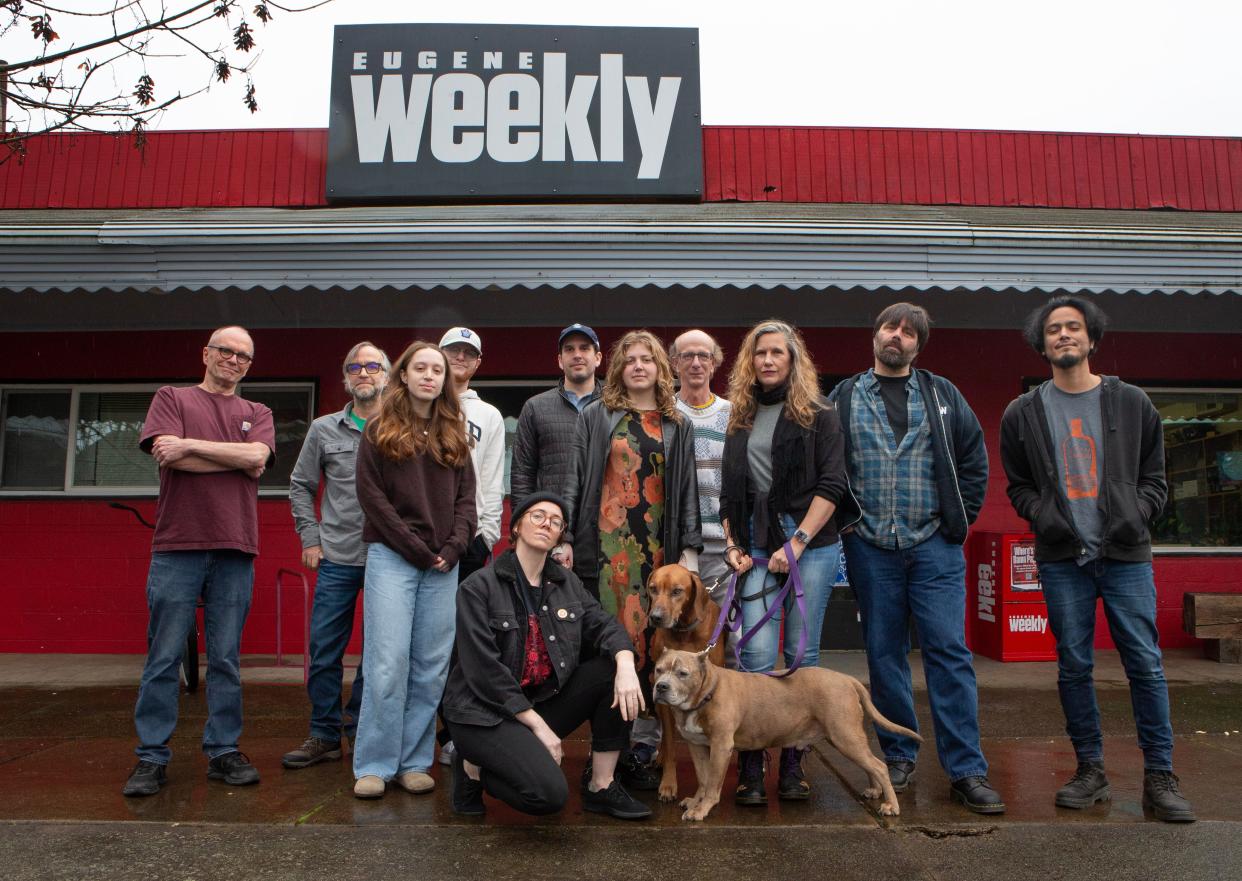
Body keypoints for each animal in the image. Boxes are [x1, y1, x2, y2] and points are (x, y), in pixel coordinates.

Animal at [640, 564, 725, 805]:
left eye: (677, 591)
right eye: (653, 588)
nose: (655, 617)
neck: (684, 632)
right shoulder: (664, 695)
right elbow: (670, 746)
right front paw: (668, 785)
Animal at [655, 646, 919, 820]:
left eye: (682, 673)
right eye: (658, 670)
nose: (661, 687)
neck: (707, 691)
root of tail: (847, 679)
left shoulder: (720, 746)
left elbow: (712, 783)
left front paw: (702, 809)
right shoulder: (697, 746)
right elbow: (702, 778)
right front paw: (696, 801)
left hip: (845, 737)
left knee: (879, 766)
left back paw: (891, 806)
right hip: (847, 738)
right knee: (871, 764)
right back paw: (875, 791)